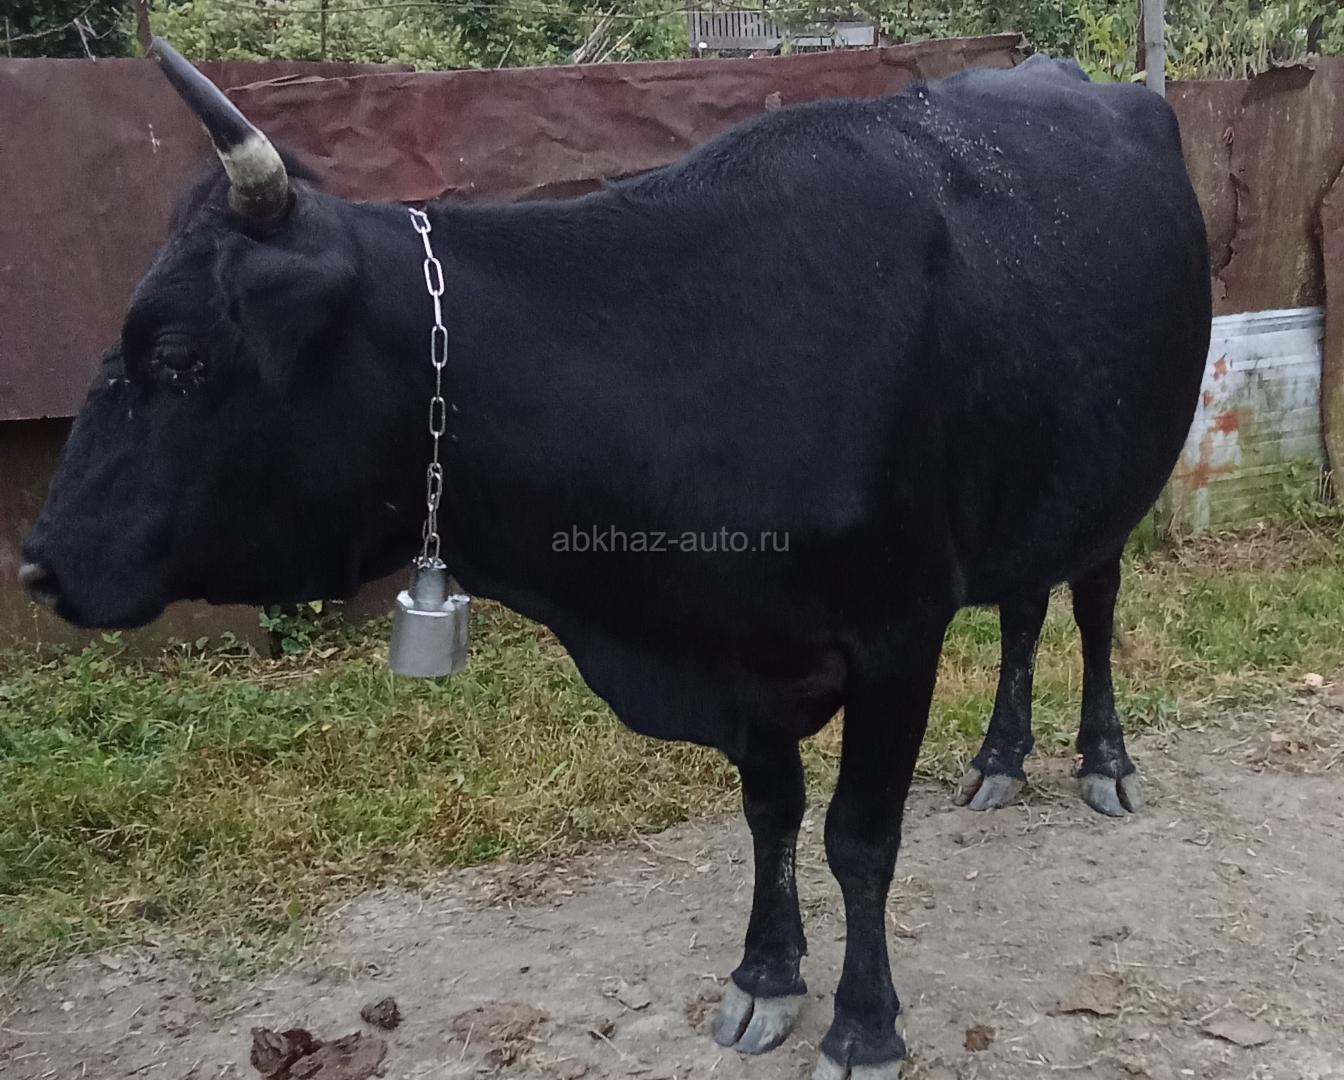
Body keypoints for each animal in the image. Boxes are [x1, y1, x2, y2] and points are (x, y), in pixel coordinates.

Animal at [21, 41, 1210, 1079]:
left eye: (180, 356)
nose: (38, 566)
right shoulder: (741, 659)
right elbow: (772, 815)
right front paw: (765, 977)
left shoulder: (895, 633)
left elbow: (860, 838)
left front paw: (864, 1027)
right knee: (1023, 608)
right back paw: (1001, 757)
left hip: (1119, 479)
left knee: (1091, 603)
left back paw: (1103, 759)